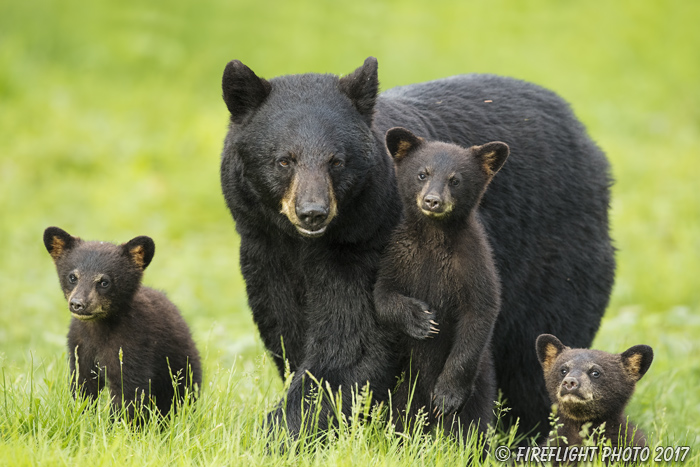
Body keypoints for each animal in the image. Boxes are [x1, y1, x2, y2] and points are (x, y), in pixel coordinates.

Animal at [43, 227, 201, 420]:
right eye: (73, 277)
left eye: (104, 282)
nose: (77, 303)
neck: (98, 330)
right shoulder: (78, 346)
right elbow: (83, 385)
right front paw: (81, 417)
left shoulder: (134, 345)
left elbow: (129, 391)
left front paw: (119, 424)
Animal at [374, 128, 506, 438]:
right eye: (422, 173)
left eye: (455, 179)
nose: (433, 201)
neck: (434, 239)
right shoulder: (398, 256)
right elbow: (382, 296)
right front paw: (420, 319)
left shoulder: (475, 263)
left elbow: (480, 314)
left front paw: (447, 396)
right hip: (404, 388)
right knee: (401, 417)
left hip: (481, 386)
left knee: (471, 425)